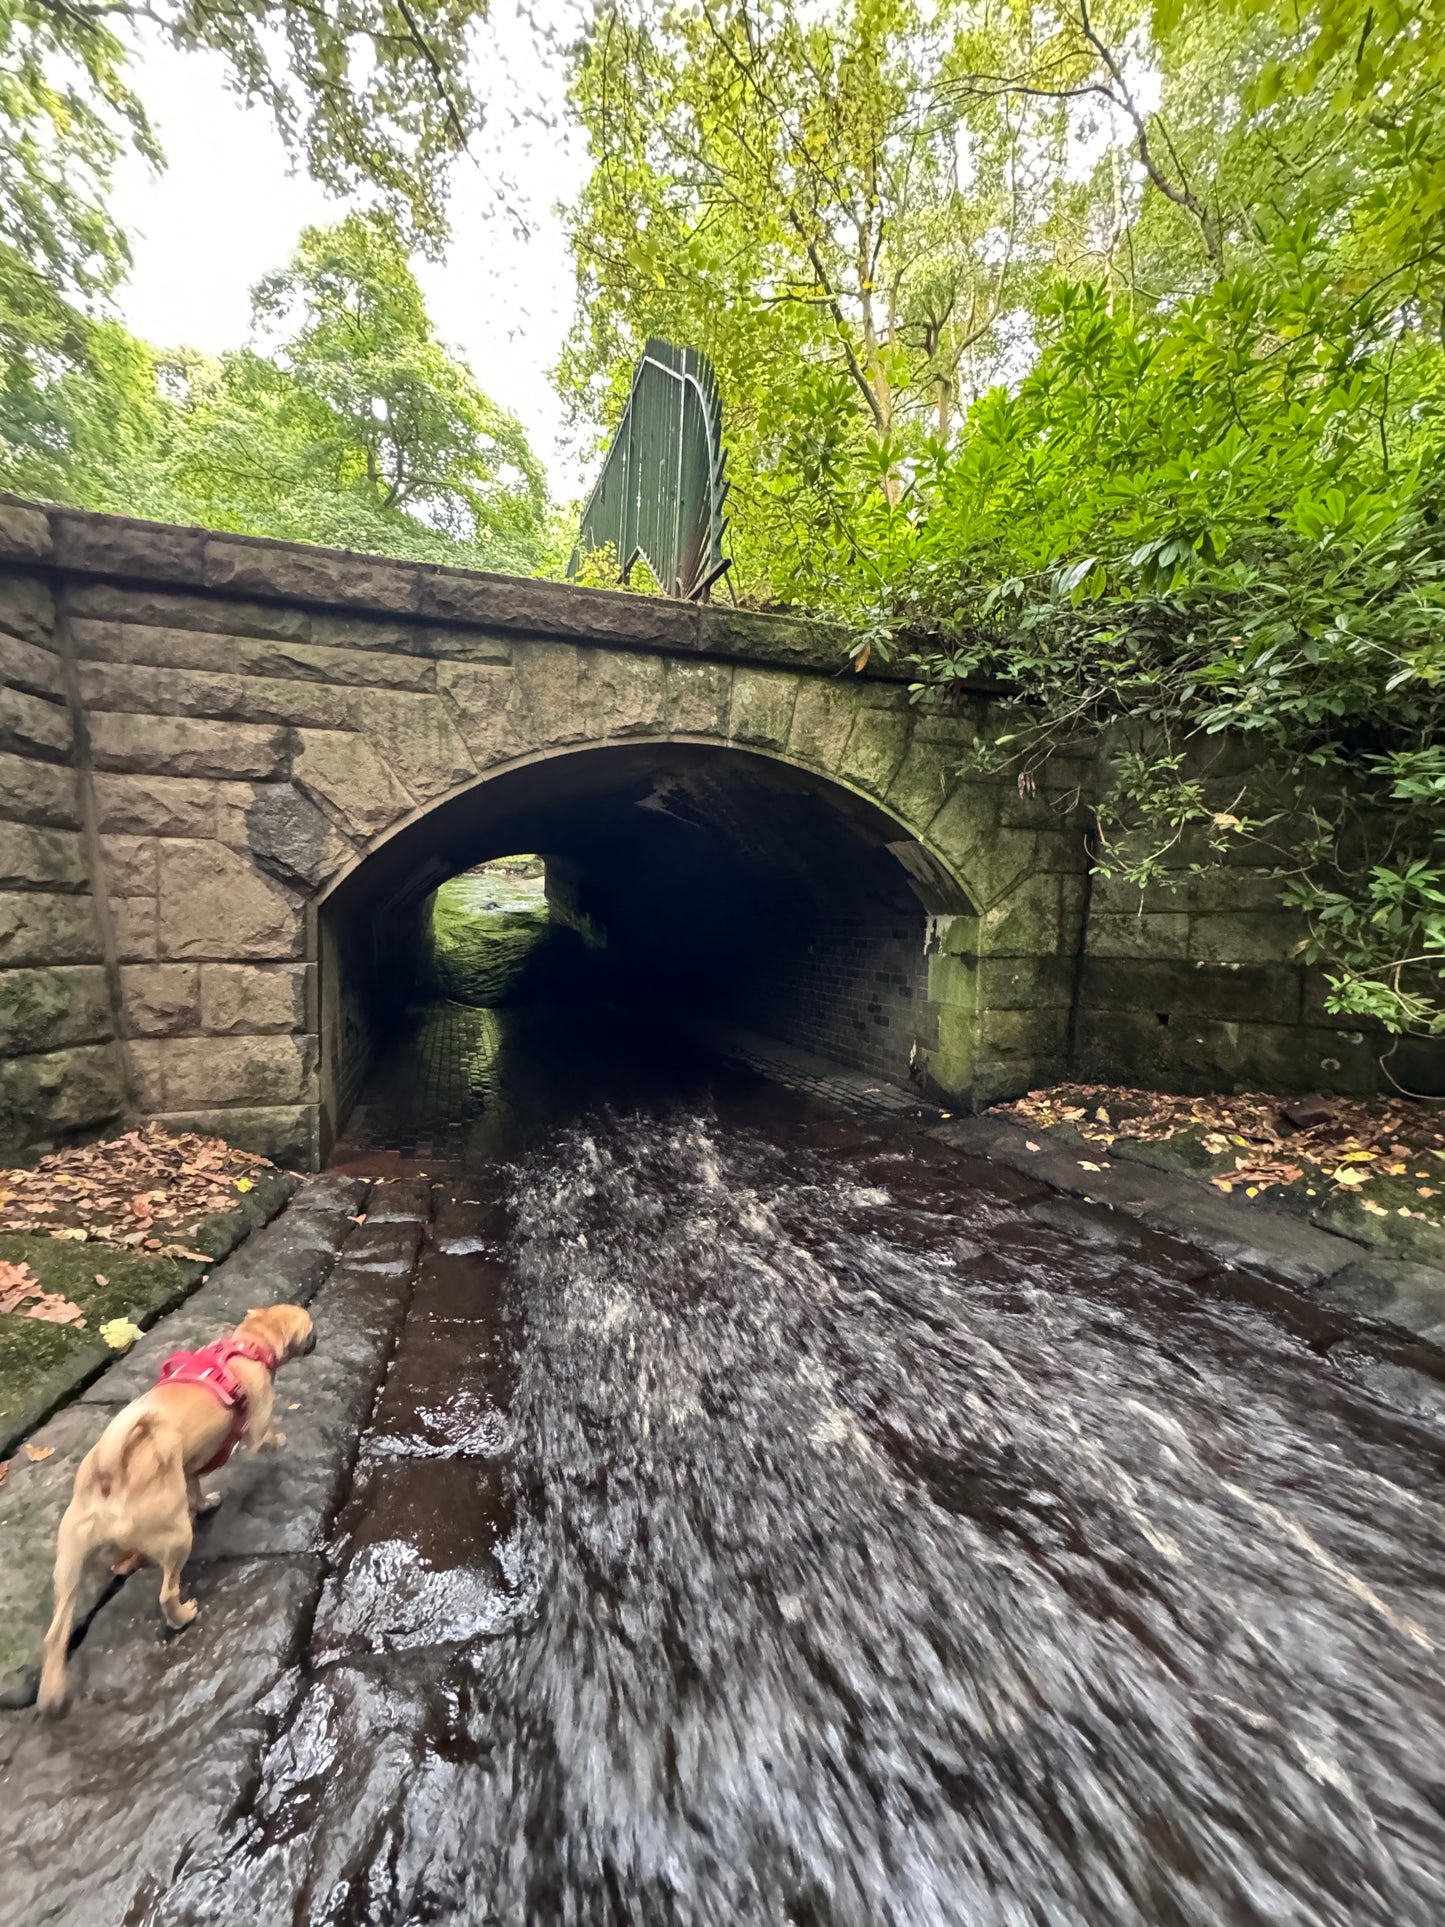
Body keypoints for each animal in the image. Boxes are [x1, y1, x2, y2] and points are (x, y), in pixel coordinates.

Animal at [38, 1302, 314, 1711]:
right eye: (310, 1329)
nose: (317, 1337)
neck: (247, 1346)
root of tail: (111, 1472)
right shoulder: (258, 1424)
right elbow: (268, 1435)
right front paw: (281, 1441)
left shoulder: (188, 1467)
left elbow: (195, 1485)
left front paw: (204, 1502)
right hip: (176, 1539)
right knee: (167, 1592)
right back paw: (182, 1615)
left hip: (69, 1563)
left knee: (57, 1632)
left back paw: (52, 1689)